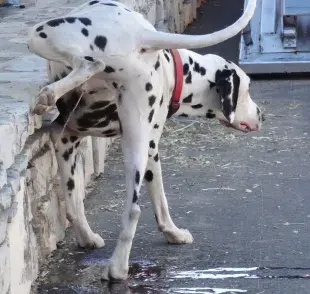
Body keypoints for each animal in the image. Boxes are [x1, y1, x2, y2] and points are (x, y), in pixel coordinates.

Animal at [28, 0, 262, 280]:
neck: (175, 70)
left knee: (90, 64)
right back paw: (118, 268)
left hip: (41, 33)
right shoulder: (140, 148)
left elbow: (74, 201)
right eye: (247, 89)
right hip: (136, 140)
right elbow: (153, 199)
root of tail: (142, 35)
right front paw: (173, 233)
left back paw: (48, 94)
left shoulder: (66, 136)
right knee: (133, 208)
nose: (261, 115)